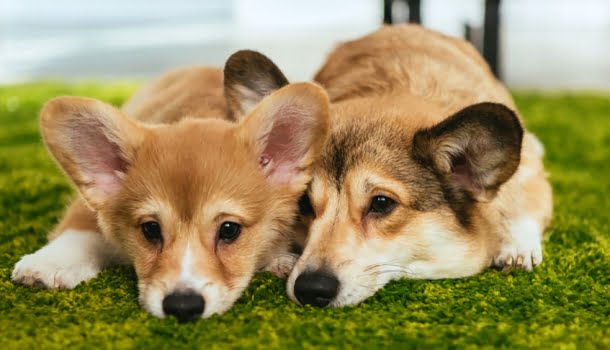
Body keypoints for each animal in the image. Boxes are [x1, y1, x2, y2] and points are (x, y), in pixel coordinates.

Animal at [11, 50, 330, 322]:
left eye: (229, 230)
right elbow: (79, 227)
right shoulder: (87, 205)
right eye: (150, 229)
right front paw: (49, 264)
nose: (182, 306)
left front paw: (279, 258)